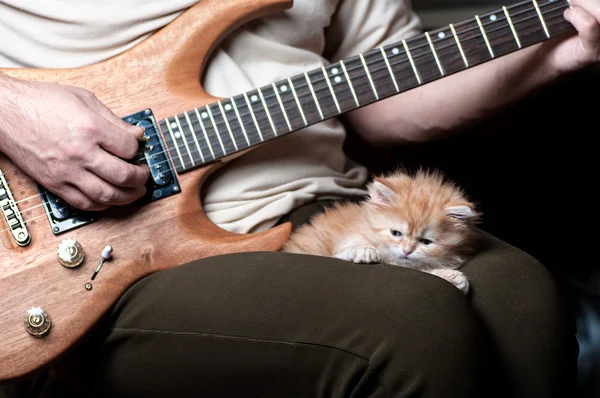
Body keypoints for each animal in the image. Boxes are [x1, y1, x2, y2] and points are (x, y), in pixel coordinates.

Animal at [282, 169, 482, 294]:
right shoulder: (340, 247)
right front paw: (365, 251)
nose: (407, 250)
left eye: (426, 242)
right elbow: (350, 248)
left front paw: (451, 277)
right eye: (396, 233)